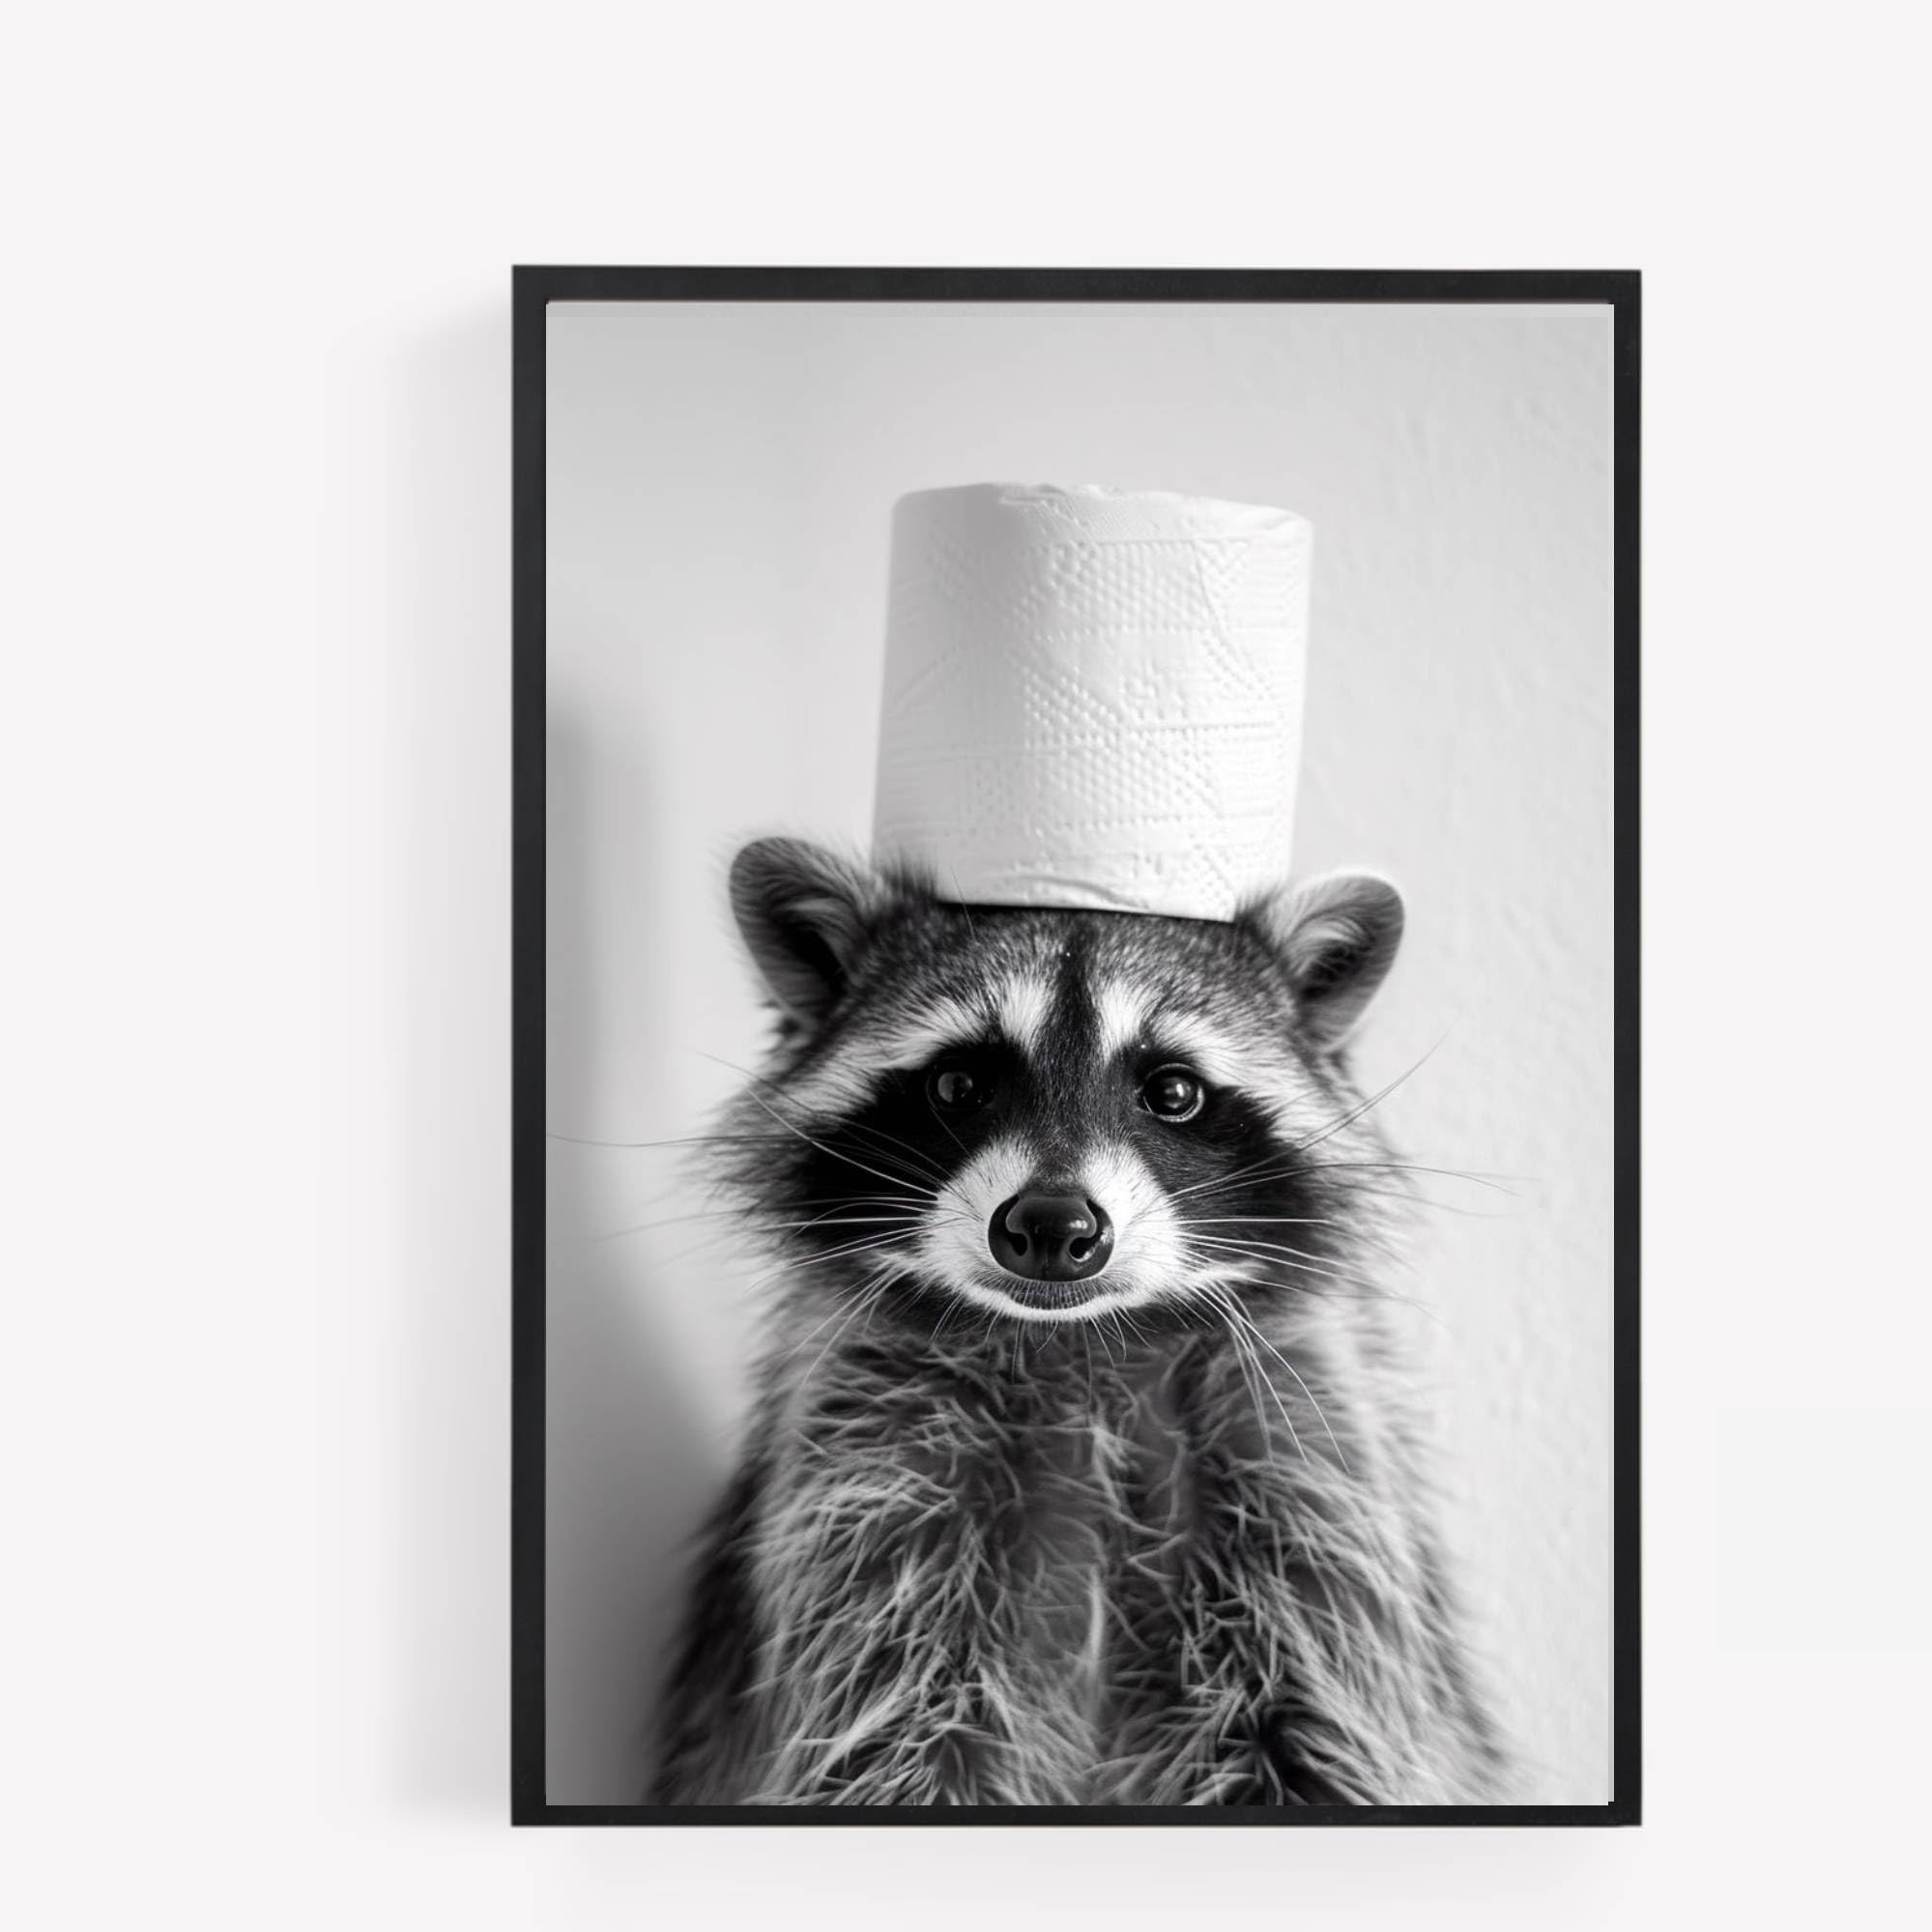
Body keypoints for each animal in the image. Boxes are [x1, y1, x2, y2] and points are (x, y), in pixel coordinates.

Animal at [650, 837, 1509, 1807]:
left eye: (1172, 1091)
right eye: (958, 1081)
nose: (1052, 1226)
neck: (1081, 1343)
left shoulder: (1305, 1470)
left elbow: (1317, 1730)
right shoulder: (869, 1479)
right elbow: (894, 1730)